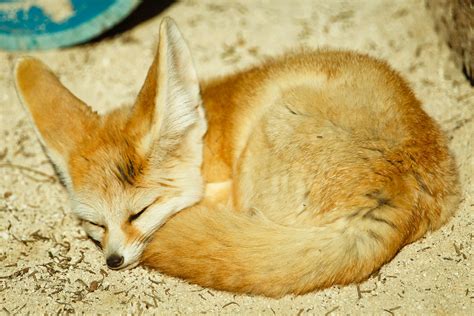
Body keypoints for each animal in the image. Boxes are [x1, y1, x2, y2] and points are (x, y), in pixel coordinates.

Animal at [13, 17, 460, 298]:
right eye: (96, 223)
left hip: (267, 130)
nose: (113, 261)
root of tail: (401, 184)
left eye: (139, 212)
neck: (204, 140)